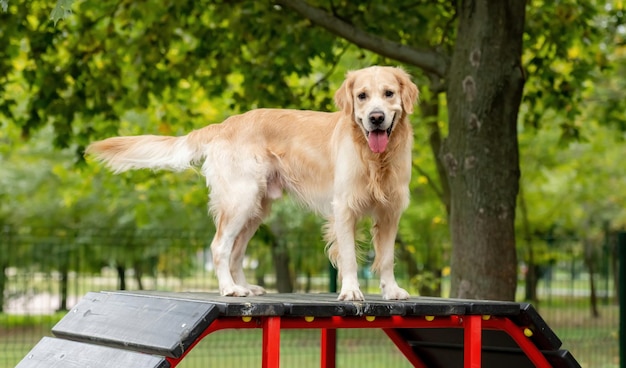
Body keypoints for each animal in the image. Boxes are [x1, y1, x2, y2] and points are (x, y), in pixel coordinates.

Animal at [86, 66, 420, 300]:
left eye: (389, 93)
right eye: (362, 96)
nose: (376, 117)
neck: (376, 158)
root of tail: (225, 124)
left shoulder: (391, 212)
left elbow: (387, 258)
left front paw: (392, 290)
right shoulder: (344, 209)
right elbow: (349, 256)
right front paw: (351, 291)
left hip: (257, 208)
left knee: (235, 253)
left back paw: (245, 287)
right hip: (241, 199)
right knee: (219, 246)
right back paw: (230, 289)